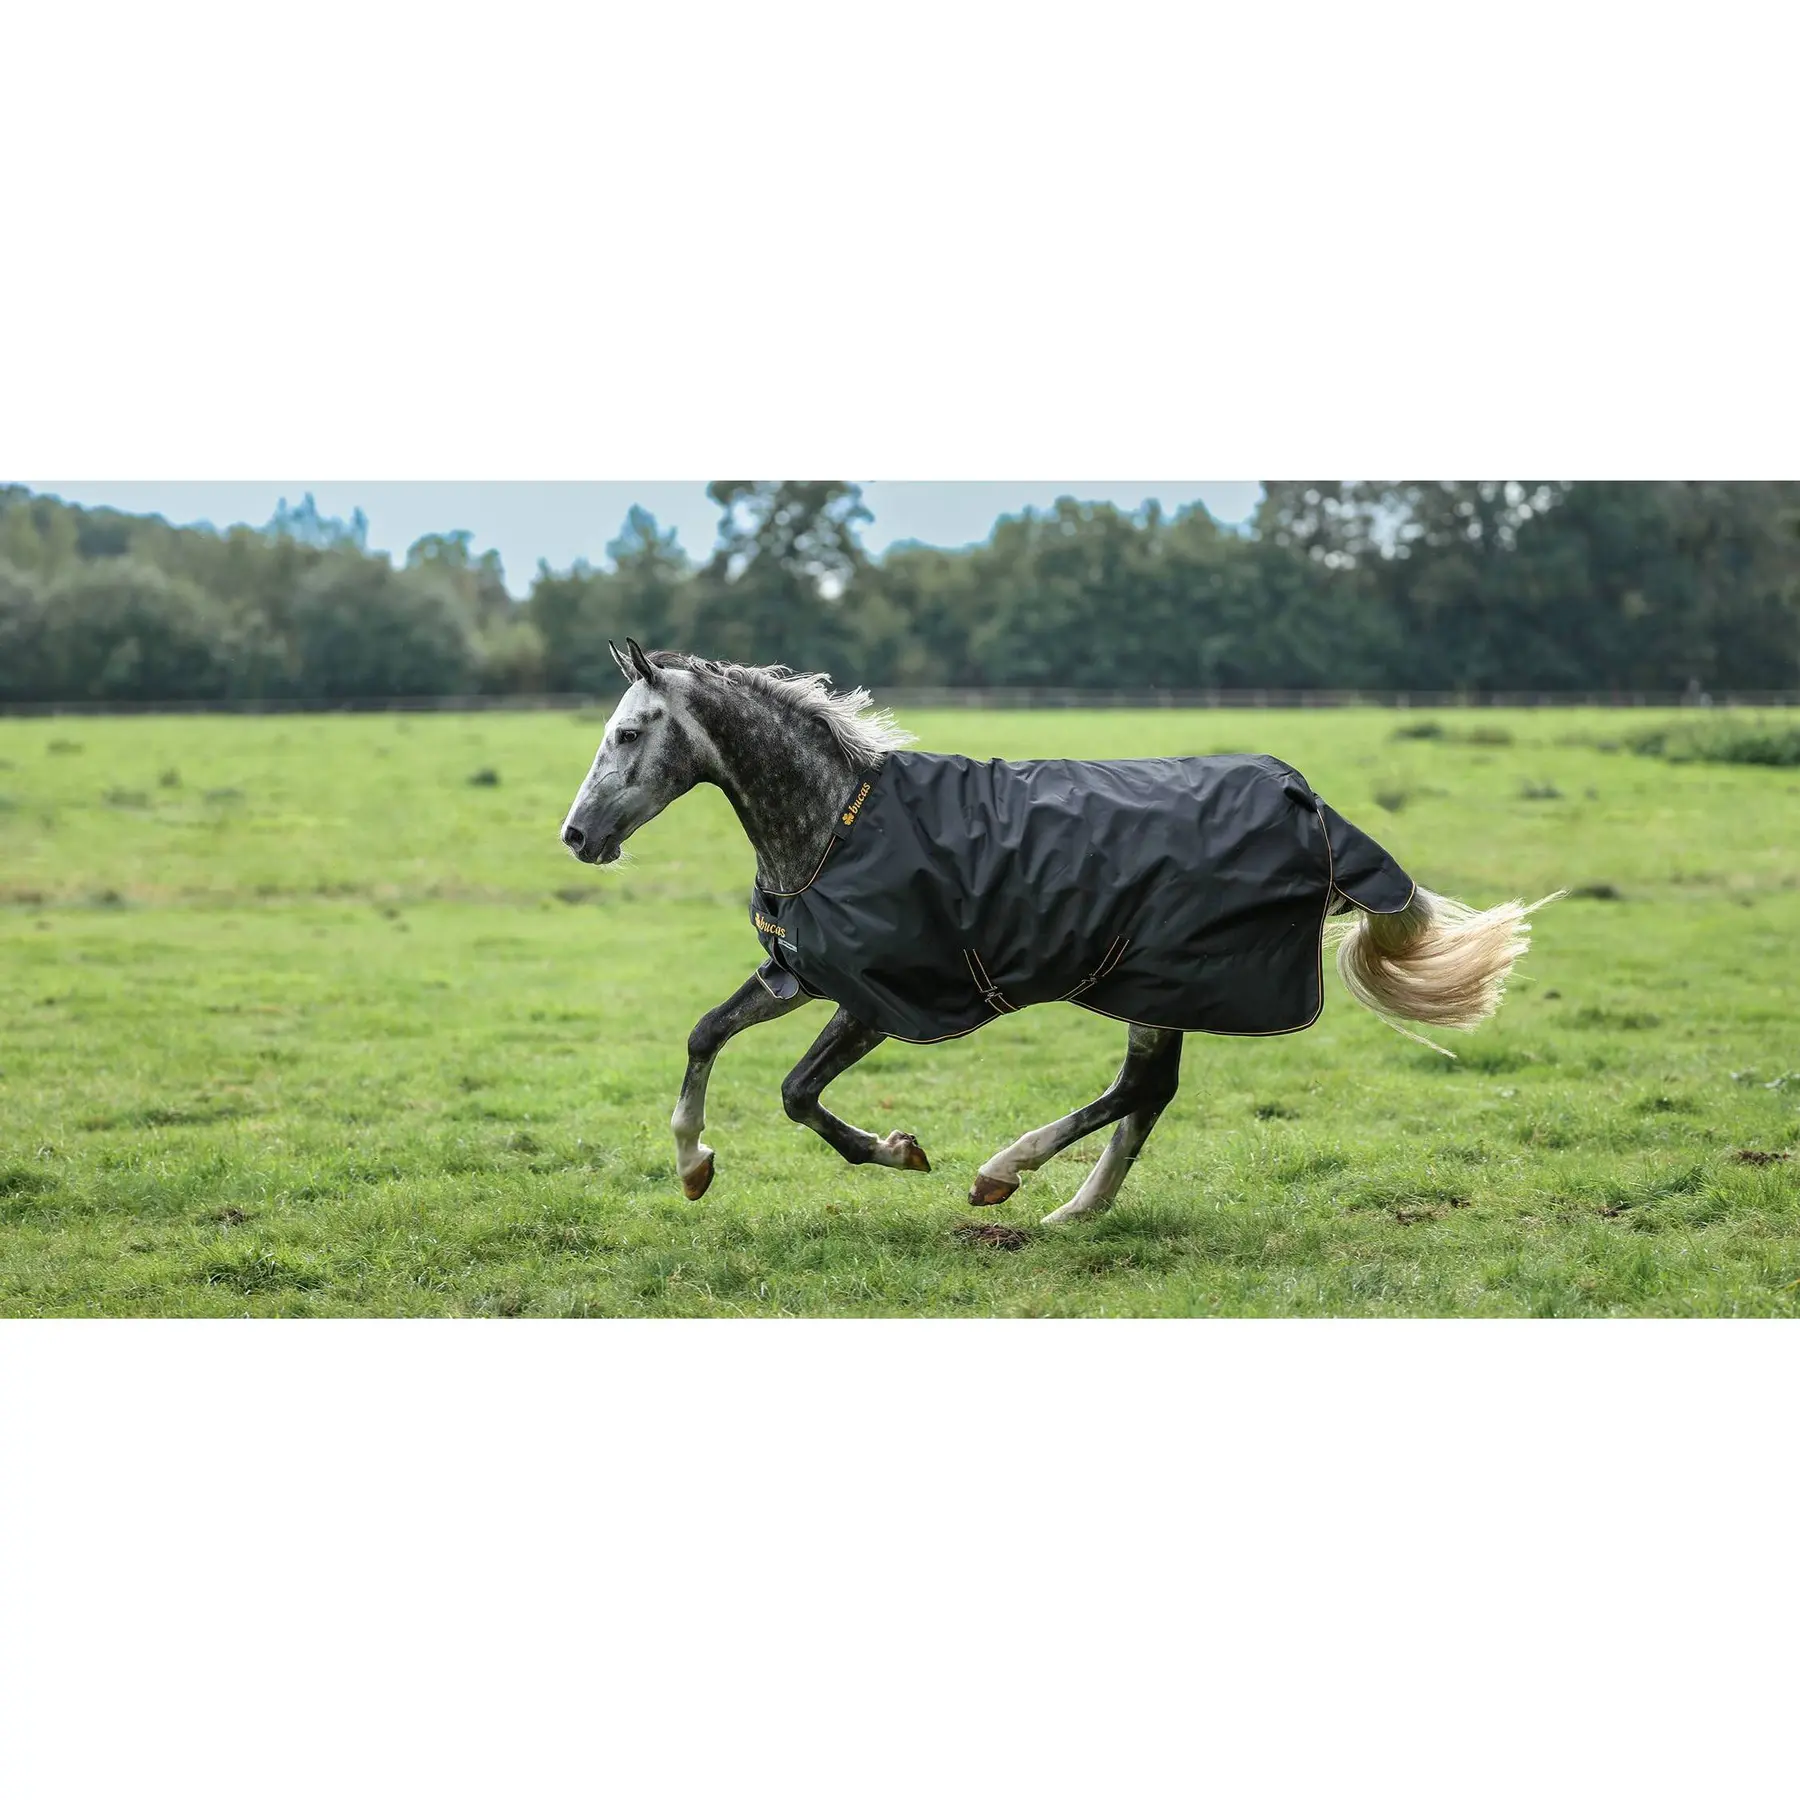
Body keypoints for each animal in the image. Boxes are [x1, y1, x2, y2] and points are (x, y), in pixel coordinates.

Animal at [560, 639, 1551, 1225]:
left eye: (631, 732)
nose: (577, 836)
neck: (835, 823)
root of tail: (1315, 811)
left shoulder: (880, 997)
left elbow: (798, 1092)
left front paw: (900, 1151)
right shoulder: (803, 973)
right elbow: (704, 1035)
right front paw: (694, 1165)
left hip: (1159, 978)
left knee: (1141, 1087)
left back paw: (1006, 1173)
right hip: (1159, 983)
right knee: (1150, 1094)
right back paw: (1075, 1209)